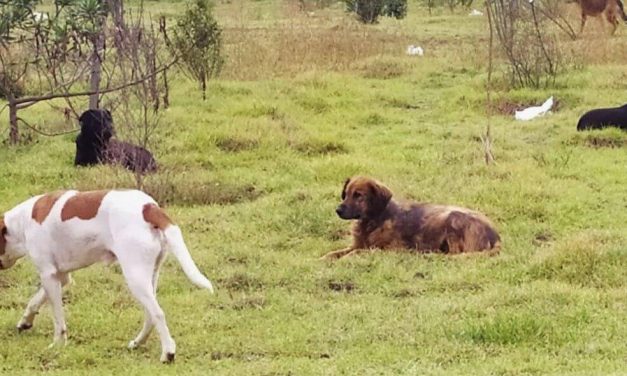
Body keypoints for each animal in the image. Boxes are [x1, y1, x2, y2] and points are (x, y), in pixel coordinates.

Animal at [0, 189, 213, 362]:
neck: (20, 222)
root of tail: (149, 207)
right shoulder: (60, 276)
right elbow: (34, 302)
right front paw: (25, 322)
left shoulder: (48, 275)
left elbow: (58, 319)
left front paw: (58, 344)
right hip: (149, 275)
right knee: (150, 315)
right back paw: (138, 343)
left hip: (134, 276)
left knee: (158, 314)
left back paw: (168, 353)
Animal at [322, 178, 502, 260]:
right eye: (346, 194)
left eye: (359, 195)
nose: (338, 210)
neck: (374, 221)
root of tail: (496, 236)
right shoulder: (357, 244)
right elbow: (335, 252)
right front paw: (325, 258)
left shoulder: (390, 250)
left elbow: (357, 252)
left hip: (453, 219)